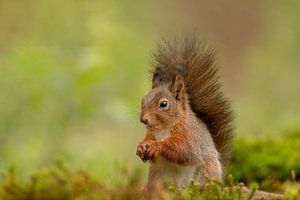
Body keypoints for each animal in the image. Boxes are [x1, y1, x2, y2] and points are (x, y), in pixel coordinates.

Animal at [137, 35, 234, 190]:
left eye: (163, 104)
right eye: (144, 99)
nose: (143, 119)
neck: (163, 129)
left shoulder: (191, 137)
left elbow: (184, 151)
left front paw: (157, 146)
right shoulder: (151, 133)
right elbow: (148, 140)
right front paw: (141, 146)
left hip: (204, 172)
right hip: (157, 173)